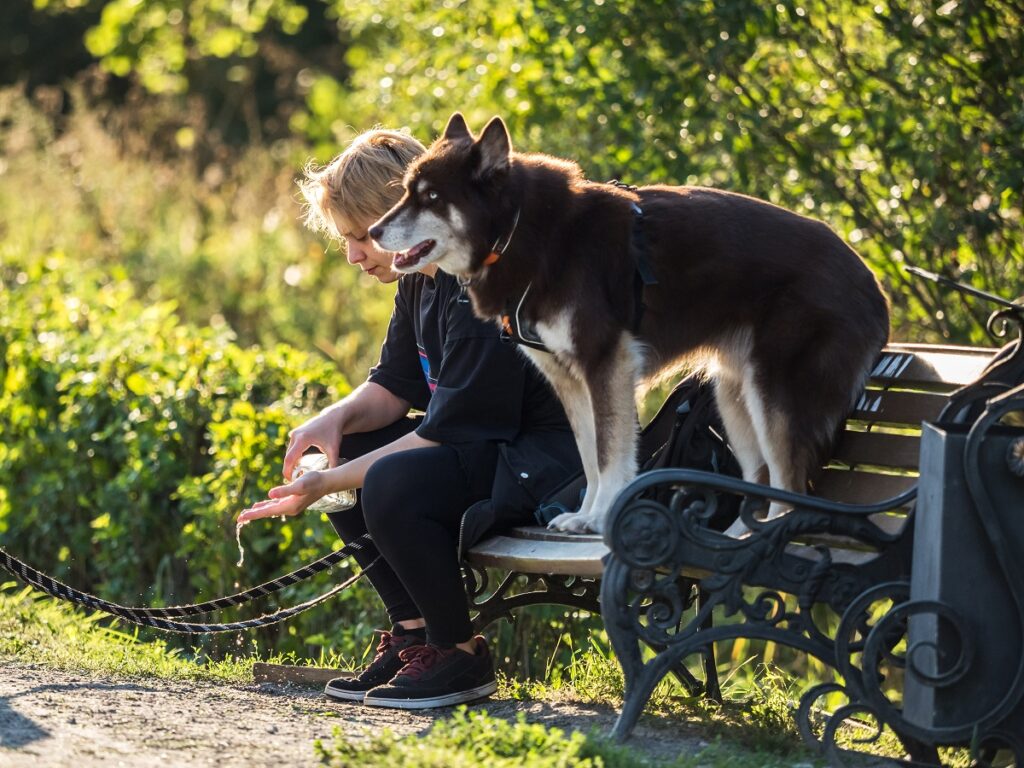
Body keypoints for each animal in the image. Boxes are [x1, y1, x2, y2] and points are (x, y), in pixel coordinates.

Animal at [368, 114, 888, 536]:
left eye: (432, 197)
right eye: (406, 191)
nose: (373, 231)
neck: (521, 233)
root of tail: (872, 283)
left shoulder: (607, 365)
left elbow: (609, 453)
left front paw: (600, 519)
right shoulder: (570, 379)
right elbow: (589, 457)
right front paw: (585, 515)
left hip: (773, 397)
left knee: (792, 488)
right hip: (735, 398)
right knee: (765, 481)